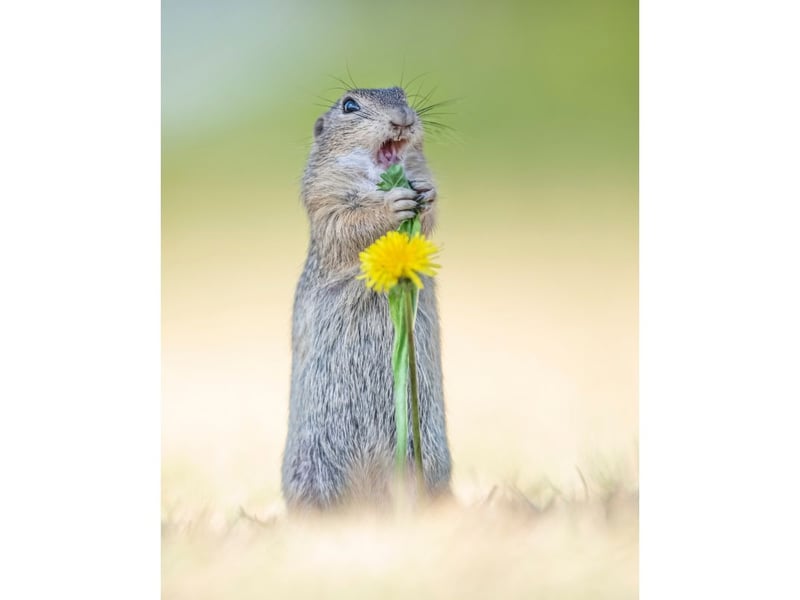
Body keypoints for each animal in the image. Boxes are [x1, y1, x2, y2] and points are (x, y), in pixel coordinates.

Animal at [281, 87, 452, 510]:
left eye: (403, 94)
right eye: (349, 106)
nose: (402, 118)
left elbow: (428, 217)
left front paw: (426, 193)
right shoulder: (325, 204)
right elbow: (349, 224)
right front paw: (392, 206)